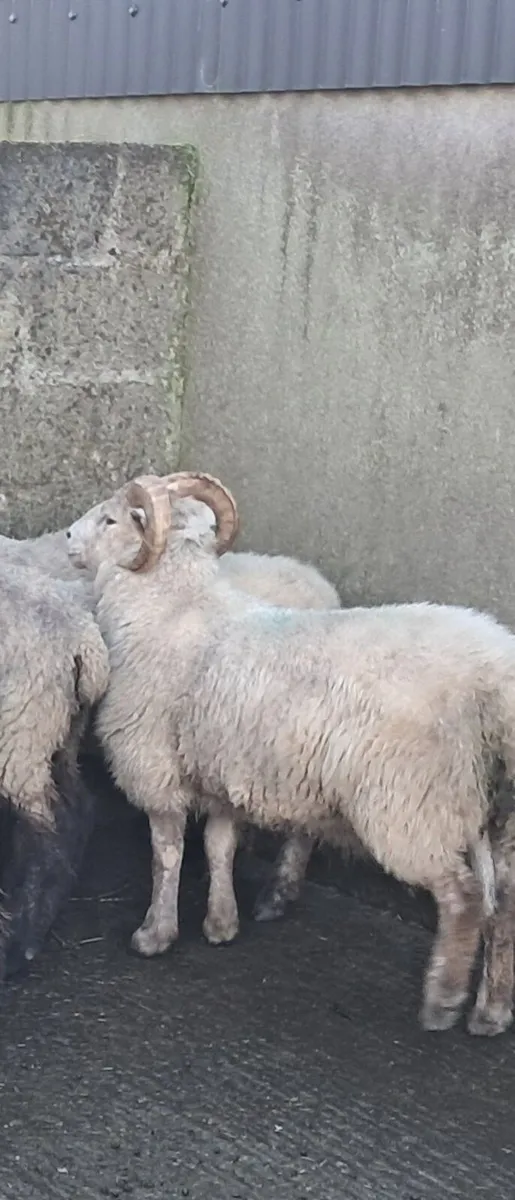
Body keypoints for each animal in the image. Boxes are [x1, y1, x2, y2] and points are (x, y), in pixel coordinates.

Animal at [65, 471, 515, 1037]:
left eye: (110, 519)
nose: (67, 538)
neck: (170, 605)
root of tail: (494, 676)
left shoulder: (156, 765)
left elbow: (165, 856)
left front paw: (155, 934)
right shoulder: (220, 769)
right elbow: (219, 846)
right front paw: (222, 923)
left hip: (411, 802)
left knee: (464, 897)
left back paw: (443, 1001)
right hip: (491, 809)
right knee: (506, 907)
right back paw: (492, 1011)